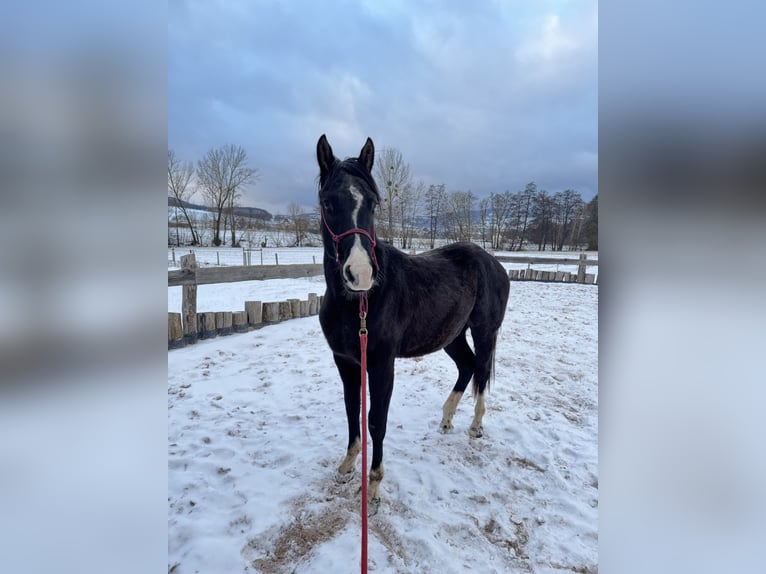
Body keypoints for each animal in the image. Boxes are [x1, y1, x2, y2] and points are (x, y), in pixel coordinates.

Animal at [316, 134, 510, 511]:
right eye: (328, 202)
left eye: (373, 203)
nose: (360, 274)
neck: (360, 303)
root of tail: (493, 262)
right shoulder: (345, 362)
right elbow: (351, 411)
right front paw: (347, 465)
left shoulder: (381, 364)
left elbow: (377, 421)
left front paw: (374, 486)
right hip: (452, 336)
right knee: (467, 367)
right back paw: (447, 419)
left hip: (484, 332)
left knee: (481, 372)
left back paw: (475, 426)